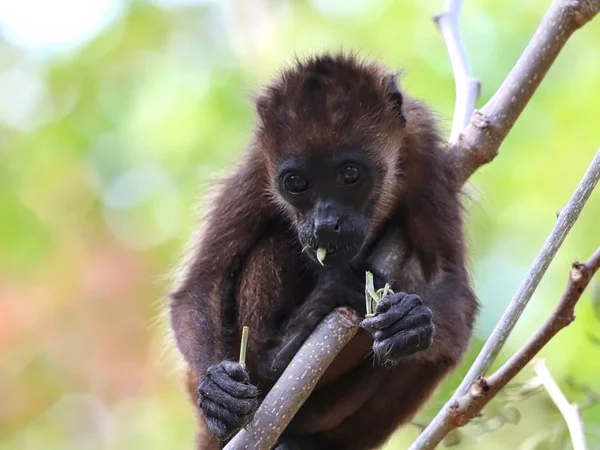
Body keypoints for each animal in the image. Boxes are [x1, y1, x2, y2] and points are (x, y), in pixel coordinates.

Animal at [169, 53, 478, 450]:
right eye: (296, 183)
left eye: (349, 175)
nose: (325, 223)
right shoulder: (258, 165)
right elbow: (201, 283)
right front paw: (217, 390)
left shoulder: (422, 147)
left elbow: (449, 280)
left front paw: (411, 320)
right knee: (277, 244)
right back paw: (281, 354)